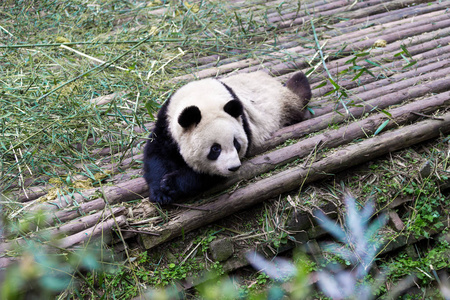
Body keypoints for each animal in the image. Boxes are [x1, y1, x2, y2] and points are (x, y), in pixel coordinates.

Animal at [142, 71, 312, 204]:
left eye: (236, 144)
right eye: (215, 149)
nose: (234, 167)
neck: (203, 99)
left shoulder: (242, 123)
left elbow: (207, 176)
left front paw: (171, 184)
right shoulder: (167, 124)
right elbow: (156, 155)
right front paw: (160, 193)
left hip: (282, 106)